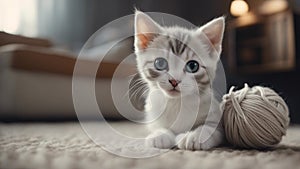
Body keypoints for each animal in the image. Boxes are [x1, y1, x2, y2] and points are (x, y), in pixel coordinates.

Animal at [132, 10, 224, 151]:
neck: (176, 104)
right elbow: (158, 127)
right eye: (160, 63)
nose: (174, 81)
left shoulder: (217, 118)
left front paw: (194, 136)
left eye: (193, 66)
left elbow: (211, 128)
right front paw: (160, 135)